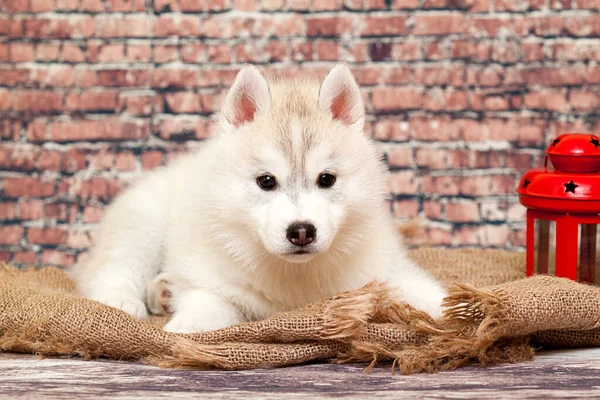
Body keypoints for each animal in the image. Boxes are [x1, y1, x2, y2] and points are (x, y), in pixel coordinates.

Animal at [70, 64, 446, 332]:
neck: (294, 275)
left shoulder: (383, 268)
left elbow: (420, 289)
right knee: (112, 266)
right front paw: (183, 326)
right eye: (266, 181)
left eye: (326, 179)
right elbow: (208, 304)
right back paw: (123, 299)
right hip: (143, 221)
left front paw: (454, 309)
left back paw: (162, 292)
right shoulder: (208, 277)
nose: (301, 231)